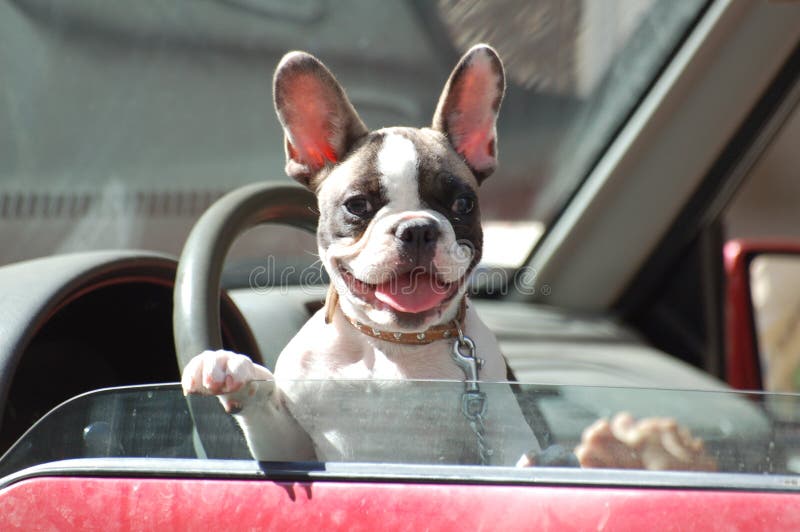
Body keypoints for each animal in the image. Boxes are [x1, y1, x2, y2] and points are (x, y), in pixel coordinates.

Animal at [181, 45, 712, 470]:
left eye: (462, 204)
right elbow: (270, 420)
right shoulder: (296, 447)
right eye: (357, 206)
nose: (417, 228)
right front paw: (235, 371)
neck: (396, 346)